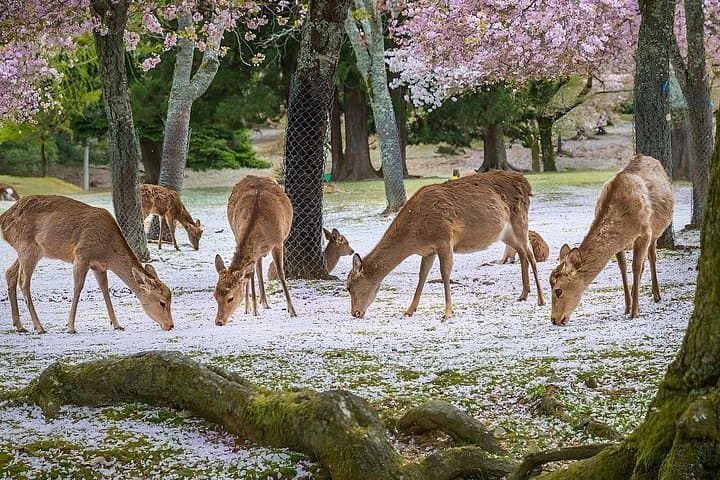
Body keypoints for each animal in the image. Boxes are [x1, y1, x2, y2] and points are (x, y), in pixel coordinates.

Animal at [0, 195, 174, 334]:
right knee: (24, 281)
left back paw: (20, 326)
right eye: (162, 302)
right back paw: (39, 327)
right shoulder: (81, 255)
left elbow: (105, 289)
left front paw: (117, 324)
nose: (170, 325)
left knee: (10, 273)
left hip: (26, 250)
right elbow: (78, 288)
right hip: (28, 247)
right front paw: (70, 327)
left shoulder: (99, 266)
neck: (107, 251)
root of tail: (3, 219)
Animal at [214, 175, 297, 325]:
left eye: (230, 298)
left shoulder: (278, 242)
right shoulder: (238, 236)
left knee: (257, 267)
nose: (219, 321)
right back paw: (255, 305)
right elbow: (249, 275)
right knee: (255, 269)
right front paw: (253, 310)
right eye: (215, 296)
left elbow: (281, 273)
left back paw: (264, 302)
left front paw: (292, 310)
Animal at [347, 170, 545, 320]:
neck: (415, 234)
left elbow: (444, 273)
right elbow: (422, 276)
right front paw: (409, 310)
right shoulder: (428, 251)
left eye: (349, 286)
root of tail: (526, 184)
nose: (355, 313)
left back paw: (541, 299)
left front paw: (448, 312)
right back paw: (523, 294)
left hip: (520, 222)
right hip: (505, 234)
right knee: (522, 253)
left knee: (531, 255)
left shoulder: (444, 239)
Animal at [548, 154, 674, 326]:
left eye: (558, 290)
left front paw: (635, 312)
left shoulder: (645, 233)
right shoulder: (619, 245)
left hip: (655, 232)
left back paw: (656, 295)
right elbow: (623, 268)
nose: (554, 319)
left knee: (651, 257)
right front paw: (627, 307)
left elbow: (636, 267)